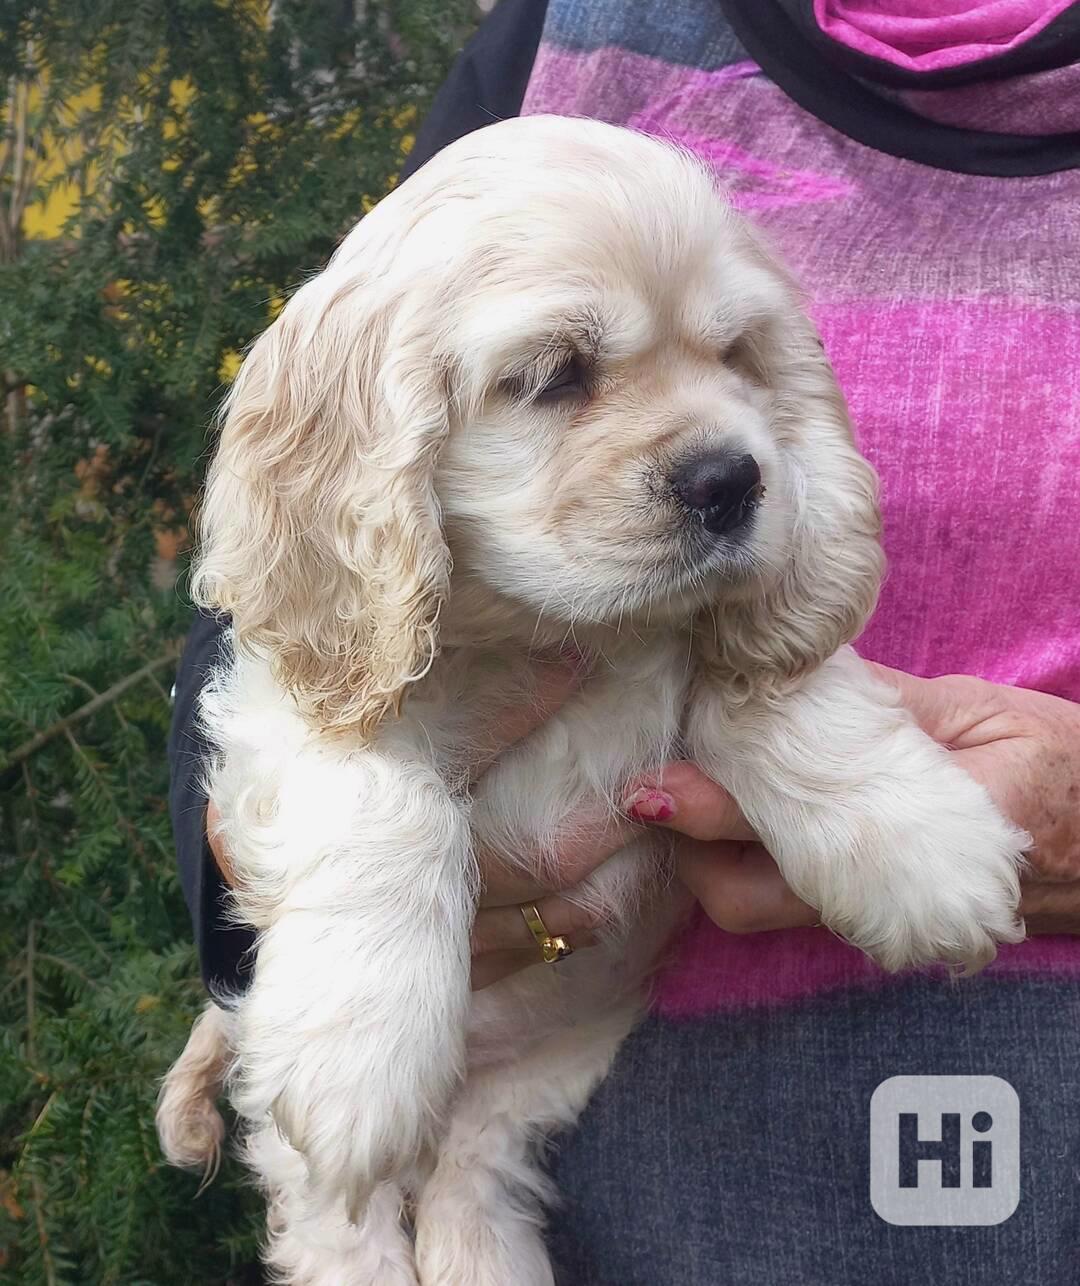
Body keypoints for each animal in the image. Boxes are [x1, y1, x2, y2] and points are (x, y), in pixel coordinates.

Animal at [156, 118, 1023, 1286]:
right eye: (554, 374)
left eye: (738, 357)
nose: (733, 479)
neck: (549, 631)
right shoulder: (287, 700)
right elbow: (390, 804)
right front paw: (358, 1049)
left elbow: (775, 693)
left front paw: (928, 853)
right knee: (336, 1207)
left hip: (564, 1048)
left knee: (475, 1158)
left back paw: (486, 1257)